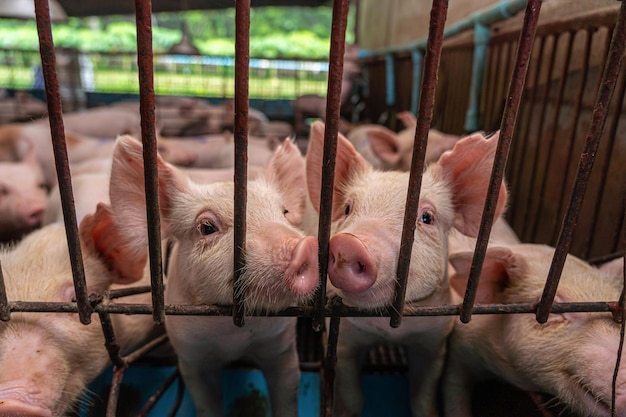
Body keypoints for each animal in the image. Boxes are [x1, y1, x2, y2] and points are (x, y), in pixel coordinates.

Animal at [106, 134, 316, 416]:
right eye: (207, 227)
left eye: (284, 213)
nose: (305, 246)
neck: (233, 335)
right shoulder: (190, 358)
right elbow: (206, 402)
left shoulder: (281, 347)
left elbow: (287, 394)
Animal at [304, 121, 508, 416]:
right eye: (348, 208)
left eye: (426, 217)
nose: (348, 244)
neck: (390, 331)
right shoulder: (343, 338)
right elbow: (352, 397)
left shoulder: (434, 342)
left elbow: (422, 398)